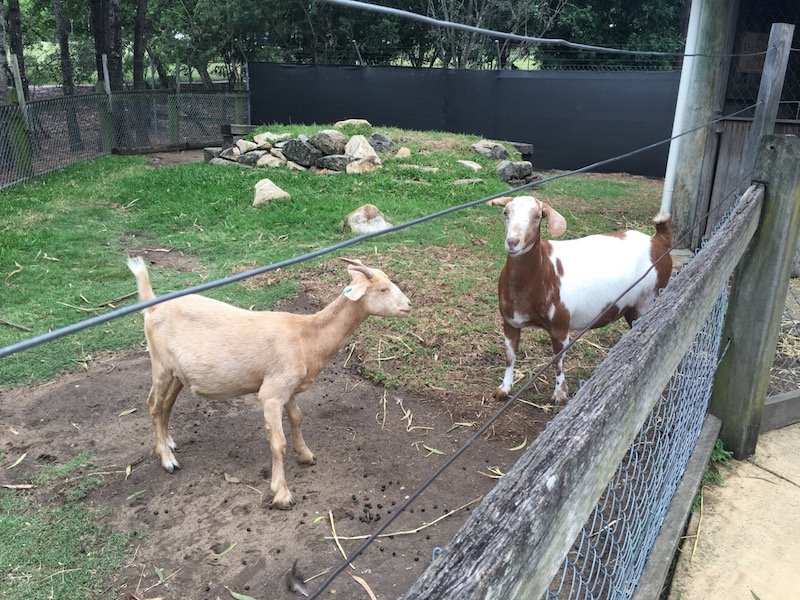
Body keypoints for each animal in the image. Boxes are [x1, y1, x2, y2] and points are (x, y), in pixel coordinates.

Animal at [129, 255, 412, 508]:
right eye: (383, 288)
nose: (409, 305)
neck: (305, 336)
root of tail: (152, 306)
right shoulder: (272, 393)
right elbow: (278, 443)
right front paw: (282, 493)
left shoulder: (289, 389)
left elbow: (297, 419)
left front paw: (306, 455)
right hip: (160, 365)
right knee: (153, 405)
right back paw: (167, 459)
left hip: (178, 373)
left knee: (166, 404)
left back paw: (168, 442)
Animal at [490, 196, 672, 404]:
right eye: (505, 212)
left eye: (537, 216)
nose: (513, 242)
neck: (544, 269)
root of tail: (658, 240)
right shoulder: (510, 322)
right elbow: (510, 356)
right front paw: (503, 389)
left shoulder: (560, 325)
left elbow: (558, 360)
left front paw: (560, 395)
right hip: (633, 306)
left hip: (650, 297)